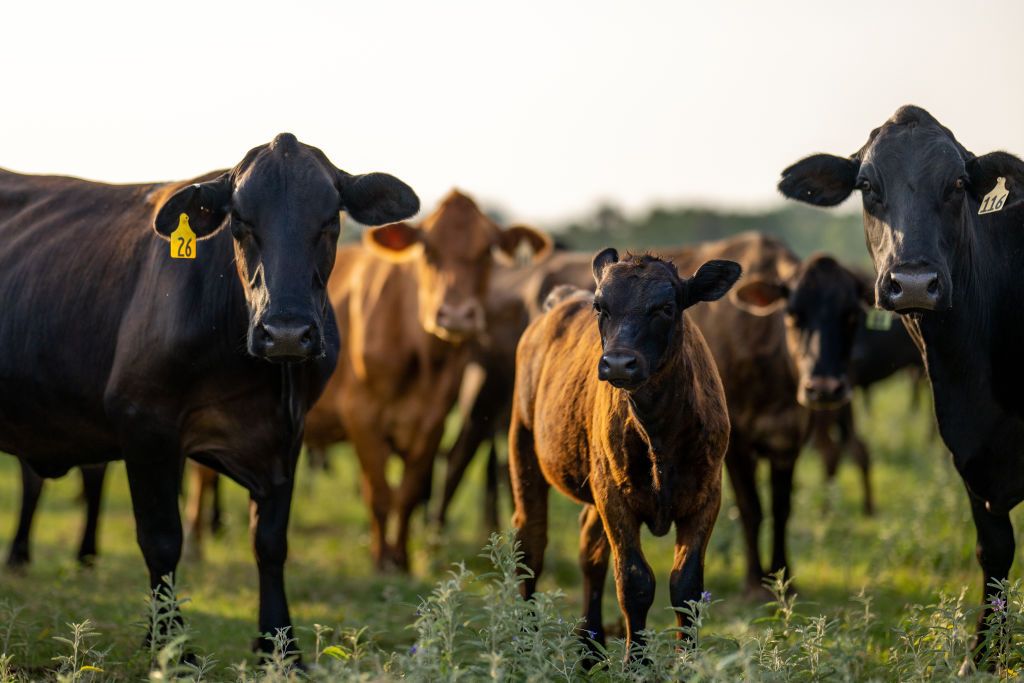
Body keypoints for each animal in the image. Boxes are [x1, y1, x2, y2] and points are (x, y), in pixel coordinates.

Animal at [0, 133, 419, 651]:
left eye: (329, 221)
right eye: (240, 223)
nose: (285, 332)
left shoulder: (288, 438)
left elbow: (270, 543)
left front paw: (278, 645)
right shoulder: (145, 424)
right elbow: (162, 540)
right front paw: (169, 646)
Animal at [305, 189, 552, 569]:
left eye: (486, 252)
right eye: (429, 250)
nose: (456, 315)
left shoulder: (432, 422)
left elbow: (408, 493)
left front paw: (402, 560)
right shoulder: (361, 417)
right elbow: (380, 494)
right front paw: (382, 561)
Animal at [509, 249, 737, 655]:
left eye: (665, 307)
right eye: (601, 307)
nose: (618, 363)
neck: (658, 433)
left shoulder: (707, 495)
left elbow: (686, 587)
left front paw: (689, 659)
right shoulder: (614, 497)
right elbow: (634, 582)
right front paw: (637, 660)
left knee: (589, 551)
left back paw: (589, 647)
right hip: (523, 445)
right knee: (531, 542)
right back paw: (526, 645)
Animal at [778, 104, 1024, 663]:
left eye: (958, 183)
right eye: (867, 185)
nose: (912, 283)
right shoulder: (969, 452)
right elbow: (994, 550)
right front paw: (984, 656)